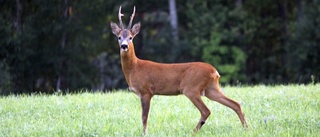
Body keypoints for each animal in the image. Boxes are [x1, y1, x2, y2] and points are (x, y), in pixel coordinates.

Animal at [110, 5, 248, 134]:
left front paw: (145, 133)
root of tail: (215, 71)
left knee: (206, 110)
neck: (135, 68)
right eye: (119, 37)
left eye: (131, 37)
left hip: (191, 88)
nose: (124, 46)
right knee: (235, 104)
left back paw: (193, 132)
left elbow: (144, 117)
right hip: (211, 88)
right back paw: (246, 128)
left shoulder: (146, 91)